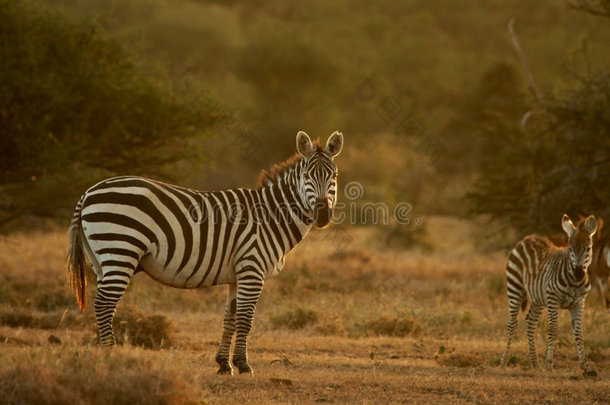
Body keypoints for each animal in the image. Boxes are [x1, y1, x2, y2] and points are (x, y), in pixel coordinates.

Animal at [67, 131, 342, 374]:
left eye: (334, 175)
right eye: (307, 175)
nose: (322, 215)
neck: (271, 215)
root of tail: (88, 192)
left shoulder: (237, 275)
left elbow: (230, 318)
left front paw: (224, 365)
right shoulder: (252, 269)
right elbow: (245, 319)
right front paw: (243, 366)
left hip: (101, 259)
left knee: (100, 303)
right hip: (120, 250)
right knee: (105, 303)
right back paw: (110, 355)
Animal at [502, 213, 596, 374]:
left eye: (588, 248)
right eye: (570, 248)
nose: (579, 273)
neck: (574, 283)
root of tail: (526, 239)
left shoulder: (579, 302)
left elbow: (579, 333)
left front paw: (585, 367)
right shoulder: (553, 299)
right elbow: (553, 330)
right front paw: (549, 365)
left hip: (537, 297)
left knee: (531, 322)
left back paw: (535, 364)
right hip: (515, 287)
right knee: (512, 324)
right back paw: (504, 361)